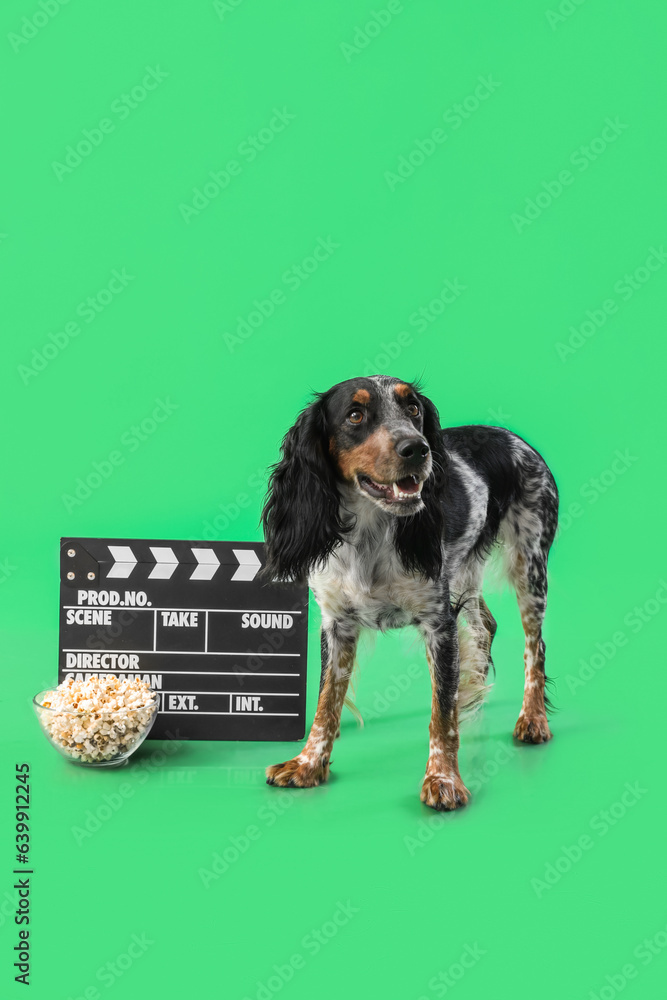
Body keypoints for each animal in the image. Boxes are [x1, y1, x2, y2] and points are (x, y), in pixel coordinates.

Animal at [260, 376, 560, 812]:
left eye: (414, 409)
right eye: (355, 414)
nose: (417, 448)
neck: (370, 535)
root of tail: (511, 436)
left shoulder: (439, 622)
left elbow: (441, 713)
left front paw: (443, 778)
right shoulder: (337, 624)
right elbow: (326, 702)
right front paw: (308, 763)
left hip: (530, 565)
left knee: (534, 646)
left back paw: (533, 718)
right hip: (466, 572)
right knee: (486, 624)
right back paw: (474, 691)